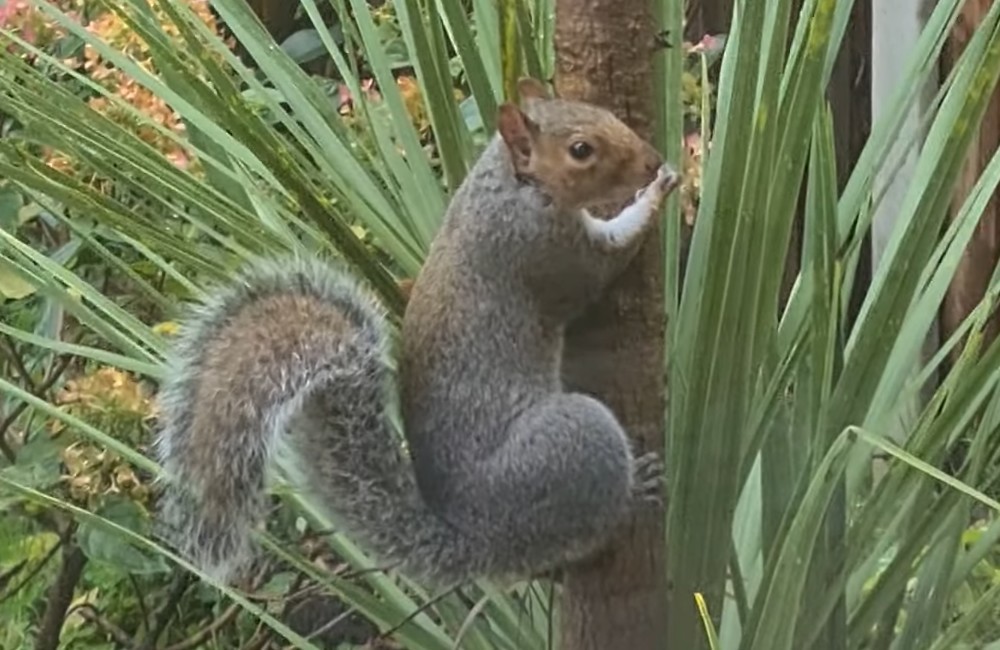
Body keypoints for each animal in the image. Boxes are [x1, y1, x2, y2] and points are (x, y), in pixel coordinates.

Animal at [154, 78, 680, 584]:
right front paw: (655, 194)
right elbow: (607, 258)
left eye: (605, 113)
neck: (509, 184)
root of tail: (480, 540)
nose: (651, 160)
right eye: (581, 150)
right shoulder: (546, 249)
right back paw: (635, 492)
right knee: (590, 527)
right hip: (573, 445)